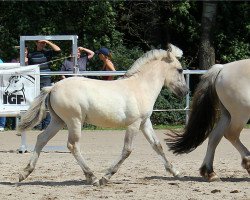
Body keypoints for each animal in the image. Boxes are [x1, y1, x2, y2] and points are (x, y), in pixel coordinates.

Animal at [18, 44, 188, 186]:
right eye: (180, 70)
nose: (185, 92)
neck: (140, 87)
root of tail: (53, 87)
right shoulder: (134, 124)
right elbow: (127, 150)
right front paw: (106, 177)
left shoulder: (145, 122)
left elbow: (157, 145)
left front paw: (175, 172)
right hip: (74, 121)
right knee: (72, 145)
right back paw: (92, 177)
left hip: (58, 121)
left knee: (42, 139)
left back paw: (24, 173)